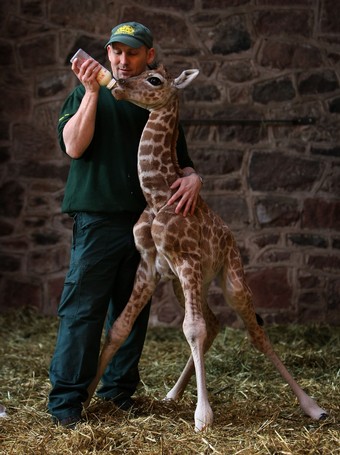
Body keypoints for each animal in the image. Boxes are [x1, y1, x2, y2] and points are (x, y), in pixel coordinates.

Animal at [84, 66, 326, 432]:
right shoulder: (151, 267)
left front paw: (203, 416)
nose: (119, 84)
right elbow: (119, 328)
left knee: (255, 333)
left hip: (231, 280)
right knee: (213, 323)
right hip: (184, 284)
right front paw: (84, 397)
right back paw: (172, 394)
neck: (158, 196)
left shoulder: (188, 262)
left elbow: (192, 329)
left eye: (154, 79)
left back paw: (312, 406)